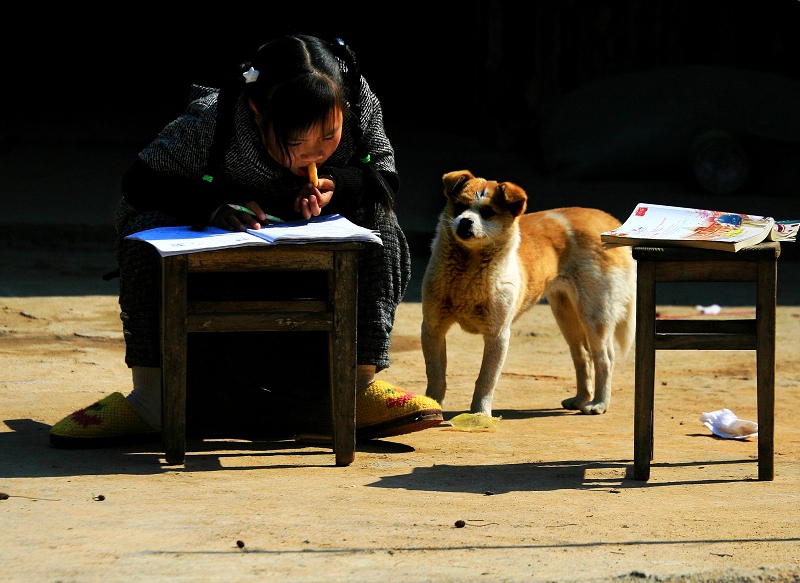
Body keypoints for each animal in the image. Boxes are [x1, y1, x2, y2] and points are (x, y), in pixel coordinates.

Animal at [422, 171, 636, 418]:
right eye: (459, 207)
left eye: (488, 212)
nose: (465, 221)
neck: (469, 266)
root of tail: (607, 221)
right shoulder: (432, 328)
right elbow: (435, 377)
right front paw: (431, 408)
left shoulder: (498, 335)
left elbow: (486, 380)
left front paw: (480, 414)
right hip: (566, 314)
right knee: (582, 355)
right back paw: (580, 399)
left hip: (595, 315)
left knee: (604, 358)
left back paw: (599, 403)